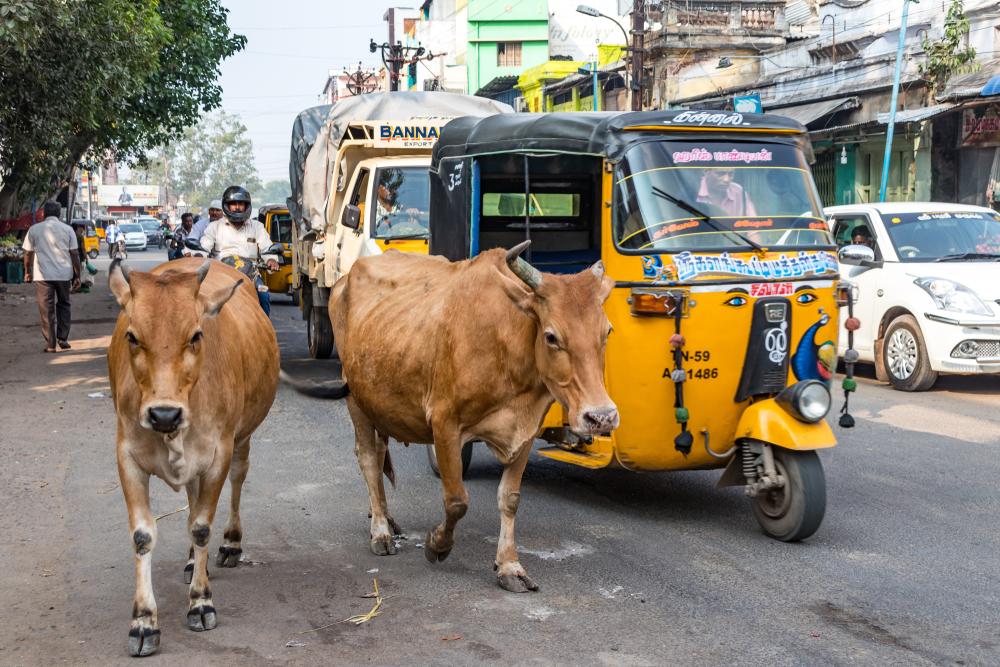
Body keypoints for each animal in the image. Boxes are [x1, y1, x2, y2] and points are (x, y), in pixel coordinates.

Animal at [107, 258, 280, 656]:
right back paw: (190, 561)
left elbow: (201, 526)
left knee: (237, 481)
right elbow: (143, 535)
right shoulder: (127, 458)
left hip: (242, 440)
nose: (164, 414)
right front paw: (143, 622)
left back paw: (230, 543)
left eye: (197, 335)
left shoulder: (218, 455)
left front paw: (201, 602)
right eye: (132, 336)